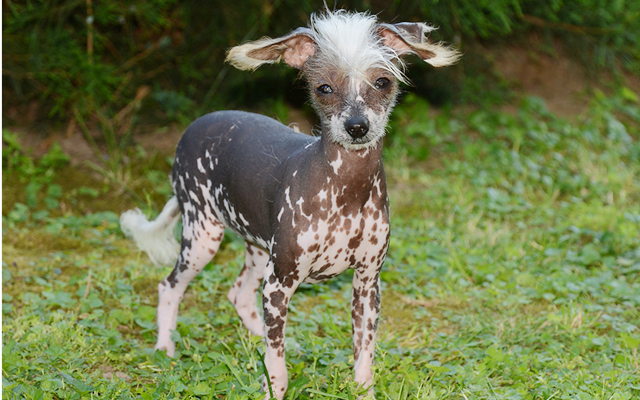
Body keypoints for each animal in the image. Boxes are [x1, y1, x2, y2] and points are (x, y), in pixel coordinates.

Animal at [120, 8, 458, 396]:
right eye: (324, 88)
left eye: (382, 82)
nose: (357, 127)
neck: (346, 192)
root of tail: (195, 126)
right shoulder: (280, 284)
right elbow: (278, 366)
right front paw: (273, 387)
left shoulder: (367, 284)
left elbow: (363, 359)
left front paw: (362, 390)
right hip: (203, 238)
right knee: (170, 287)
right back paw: (165, 346)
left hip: (257, 249)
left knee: (241, 297)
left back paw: (259, 339)